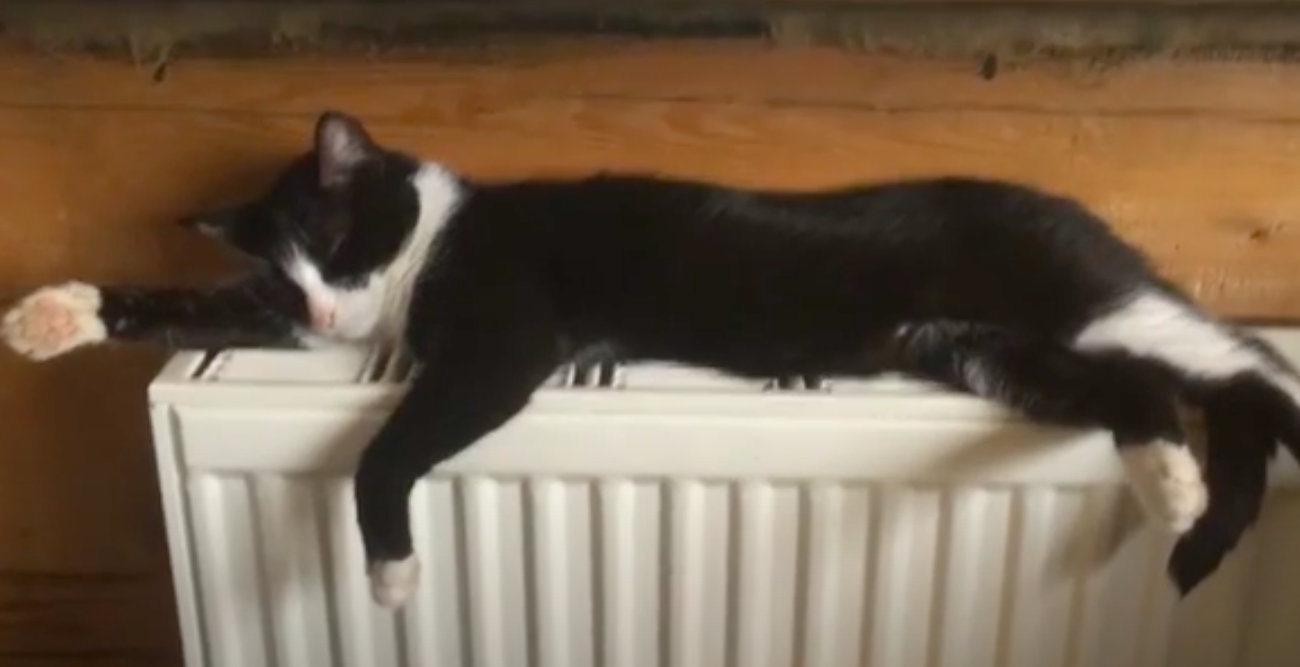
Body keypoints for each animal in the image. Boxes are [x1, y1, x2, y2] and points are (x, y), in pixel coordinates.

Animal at [4, 110, 1295, 608]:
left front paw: (391, 573)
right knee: (1135, 389)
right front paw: (55, 314)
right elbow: (188, 304)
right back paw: (1170, 483)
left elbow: (386, 452)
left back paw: (1203, 472)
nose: (320, 312)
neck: (431, 241)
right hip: (986, 353)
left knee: (1240, 371)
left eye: (331, 240)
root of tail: (1072, 214)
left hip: (1078, 295)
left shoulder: (505, 339)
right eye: (283, 277)